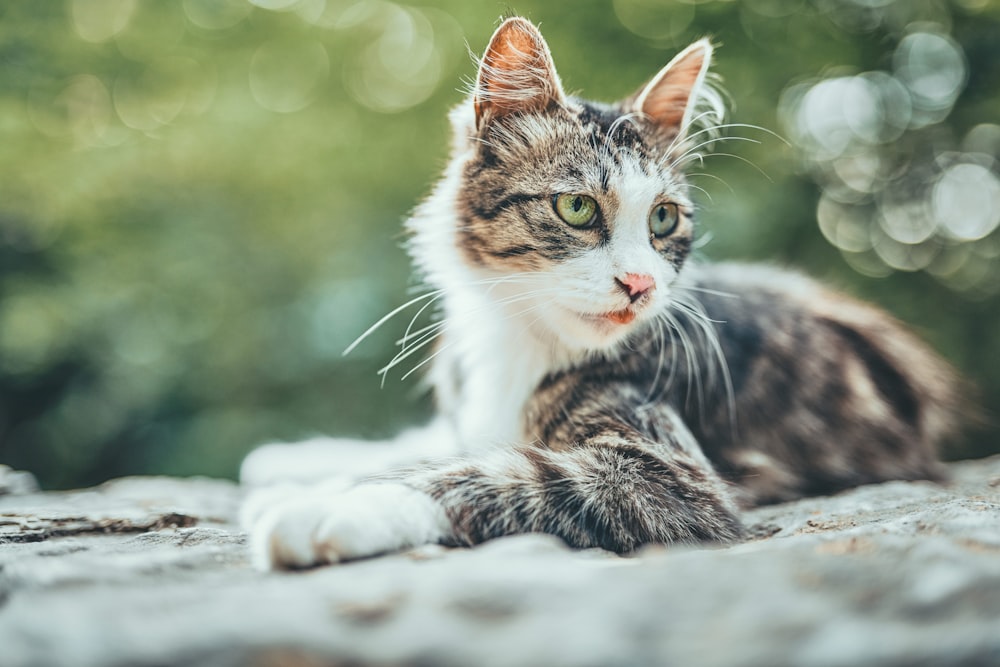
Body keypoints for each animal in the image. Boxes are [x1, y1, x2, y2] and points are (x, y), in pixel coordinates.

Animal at [238, 15, 956, 568]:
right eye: (578, 208)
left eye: (663, 219)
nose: (639, 283)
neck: (516, 340)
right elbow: (452, 447)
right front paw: (317, 475)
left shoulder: (671, 476)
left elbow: (502, 472)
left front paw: (335, 507)